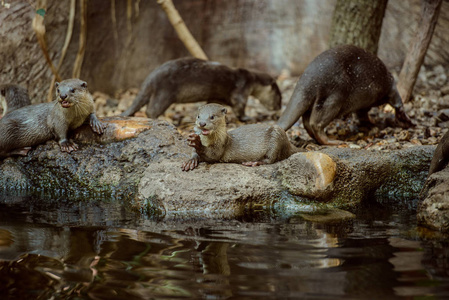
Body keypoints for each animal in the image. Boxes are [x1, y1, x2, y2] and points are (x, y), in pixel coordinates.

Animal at [119, 56, 280, 120]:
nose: (278, 108)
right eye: (279, 97)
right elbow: (239, 105)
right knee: (151, 110)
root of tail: (152, 76)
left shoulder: (216, 95)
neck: (251, 80)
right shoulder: (242, 89)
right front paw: (248, 117)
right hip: (165, 92)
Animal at [276, 43, 412, 145]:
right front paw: (406, 120)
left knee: (306, 122)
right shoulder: (390, 85)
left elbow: (362, 114)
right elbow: (397, 101)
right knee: (315, 123)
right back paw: (332, 141)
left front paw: (369, 123)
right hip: (335, 95)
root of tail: (308, 80)